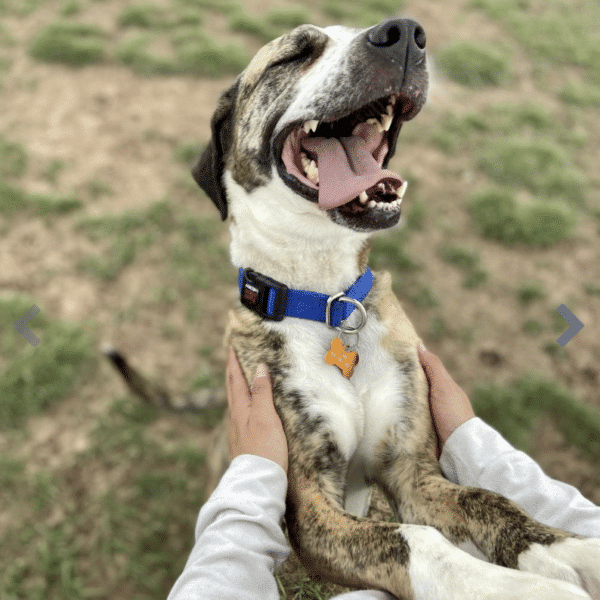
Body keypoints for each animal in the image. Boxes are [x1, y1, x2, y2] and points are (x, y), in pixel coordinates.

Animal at [106, 18, 600, 600]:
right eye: (294, 54)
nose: (404, 33)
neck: (328, 303)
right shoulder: (309, 505)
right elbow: (413, 540)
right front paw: (515, 588)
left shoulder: (412, 472)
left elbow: (491, 500)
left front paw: (568, 550)